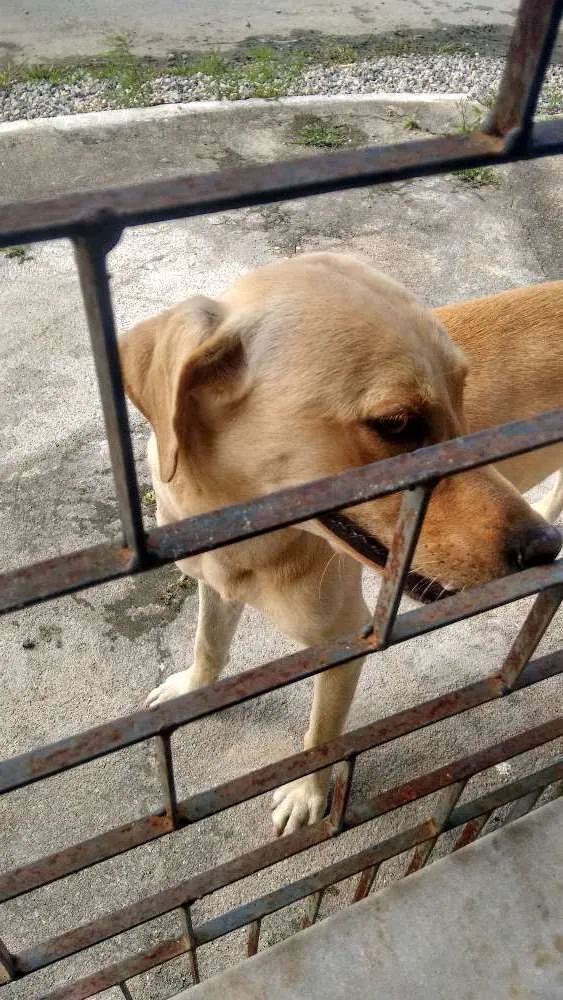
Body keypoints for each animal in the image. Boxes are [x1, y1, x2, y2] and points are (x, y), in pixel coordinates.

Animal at [120, 254, 563, 832]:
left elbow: (322, 737)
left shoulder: (344, 641)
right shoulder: (215, 586)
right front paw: (193, 687)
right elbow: (208, 644)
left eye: (462, 395)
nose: (543, 547)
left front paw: (308, 795)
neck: (245, 537)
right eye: (397, 423)